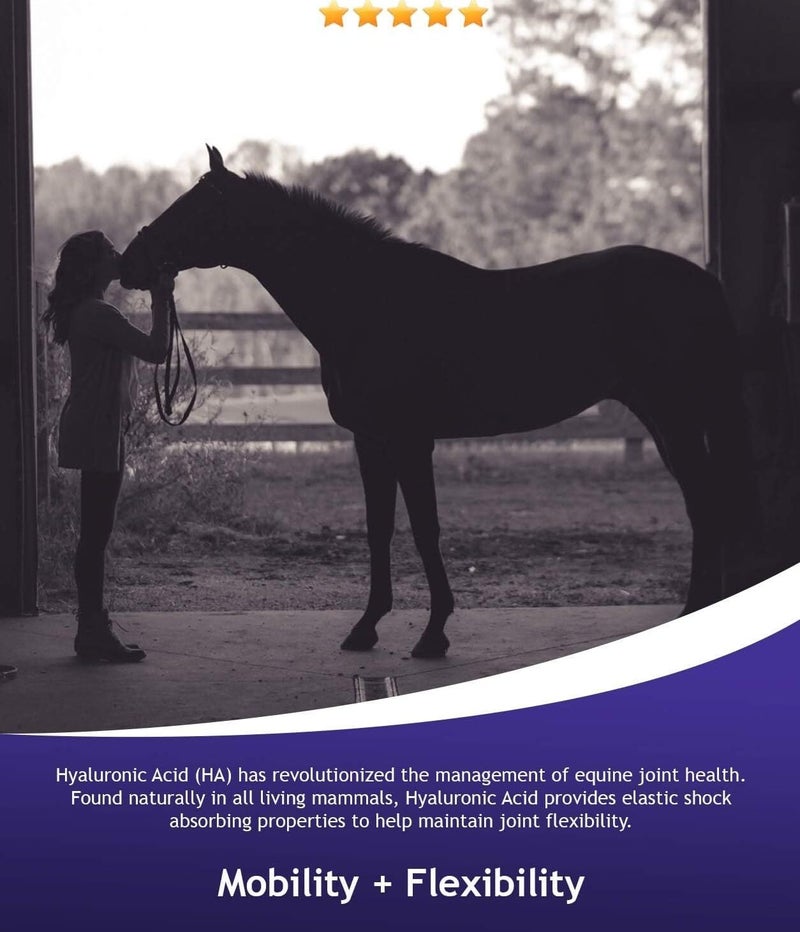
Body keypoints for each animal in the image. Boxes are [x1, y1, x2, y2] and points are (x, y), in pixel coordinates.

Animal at [120, 145, 755, 659]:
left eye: (195, 208)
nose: (129, 263)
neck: (367, 302)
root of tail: (703, 281)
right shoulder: (370, 439)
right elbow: (379, 528)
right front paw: (366, 628)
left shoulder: (410, 439)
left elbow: (425, 528)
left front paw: (433, 634)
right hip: (664, 418)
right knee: (705, 503)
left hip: (675, 416)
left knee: (708, 504)